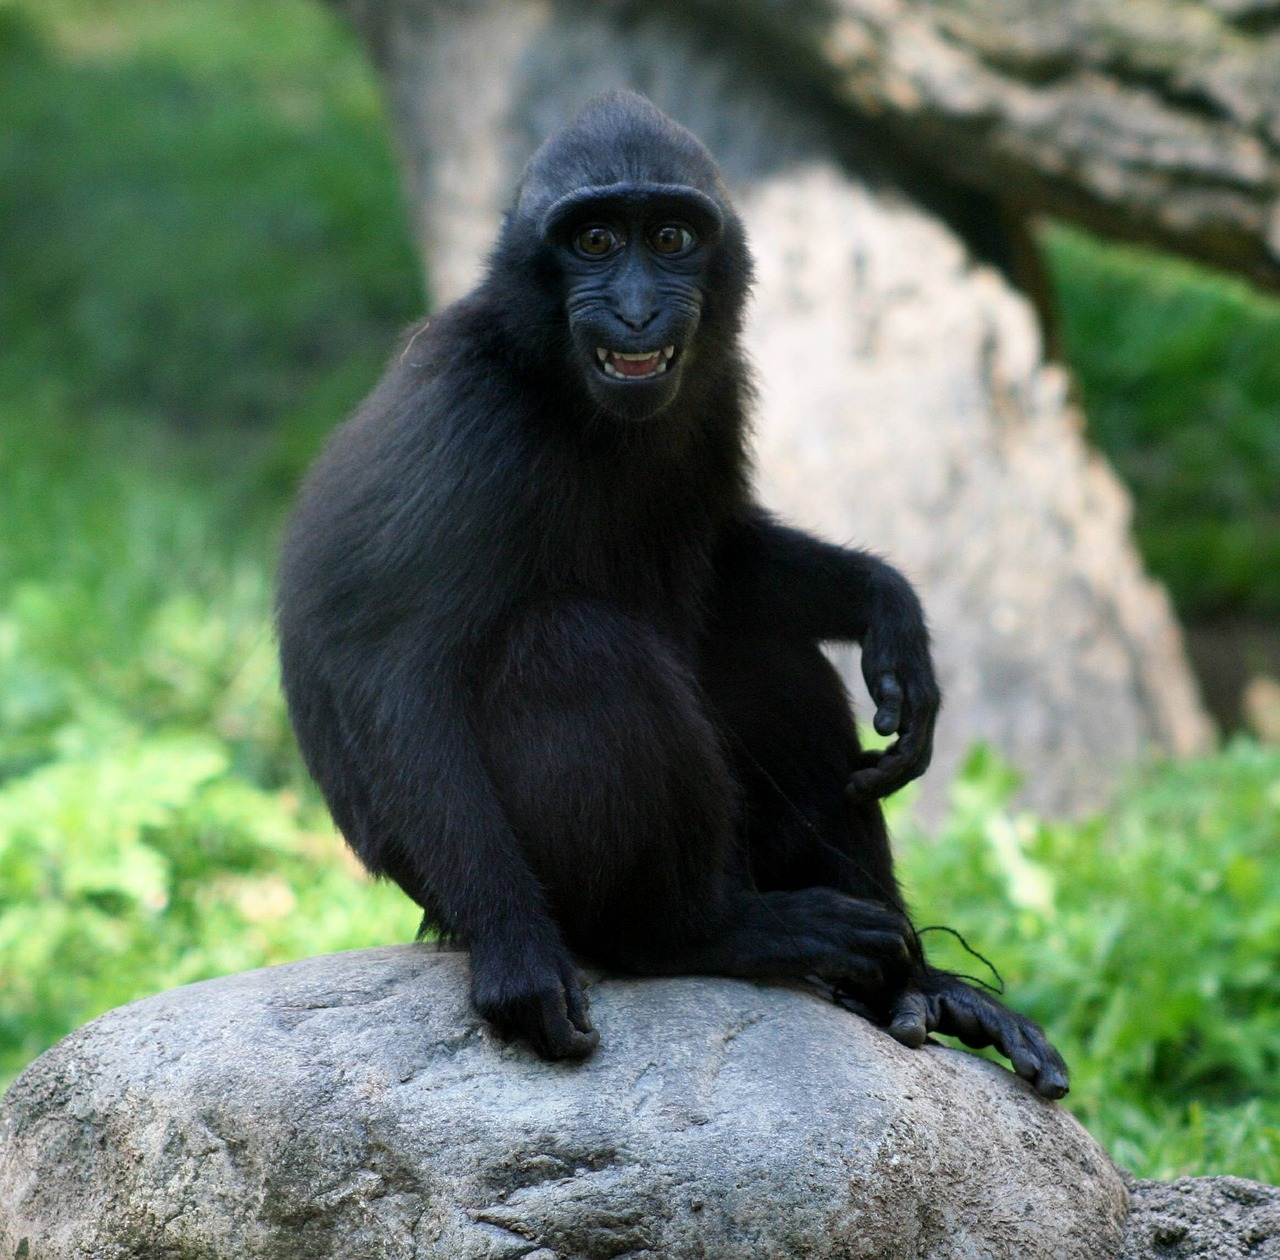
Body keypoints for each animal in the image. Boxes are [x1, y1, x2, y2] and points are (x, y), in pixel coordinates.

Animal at [280, 88, 1070, 1096]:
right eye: (592, 242)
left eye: (667, 237)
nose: (636, 307)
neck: (561, 390)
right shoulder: (460, 421)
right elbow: (392, 674)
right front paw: (518, 962)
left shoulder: (717, 393)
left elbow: (730, 560)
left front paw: (890, 613)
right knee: (574, 650)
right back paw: (702, 931)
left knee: (761, 648)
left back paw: (916, 985)